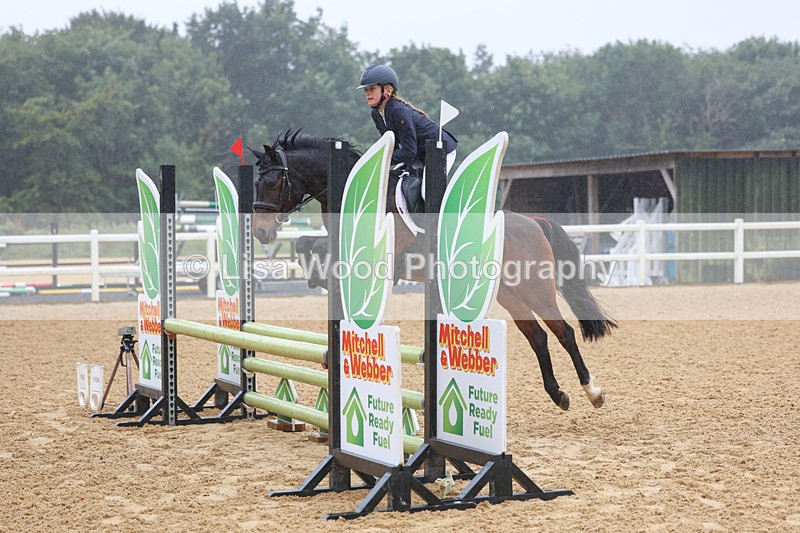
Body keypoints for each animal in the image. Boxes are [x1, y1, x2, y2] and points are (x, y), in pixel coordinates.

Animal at [250, 130, 617, 411]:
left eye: (274, 182)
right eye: (258, 182)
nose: (261, 233)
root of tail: (534, 223)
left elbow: (316, 248)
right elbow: (305, 244)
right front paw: (317, 277)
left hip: (534, 288)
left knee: (564, 332)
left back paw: (593, 391)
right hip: (508, 292)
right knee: (538, 337)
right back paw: (558, 394)